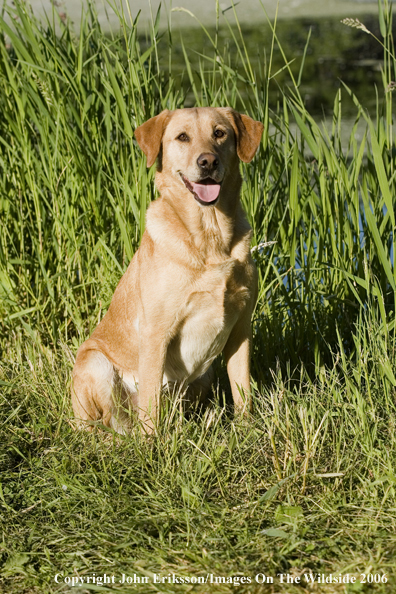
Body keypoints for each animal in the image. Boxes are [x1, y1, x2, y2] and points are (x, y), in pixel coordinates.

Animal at [71, 105, 262, 430]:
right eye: (182, 137)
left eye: (219, 133)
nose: (208, 161)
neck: (210, 237)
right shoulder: (156, 332)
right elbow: (151, 401)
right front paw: (153, 441)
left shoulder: (240, 328)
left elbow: (243, 389)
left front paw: (248, 429)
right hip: (95, 364)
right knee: (107, 424)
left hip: (203, 377)